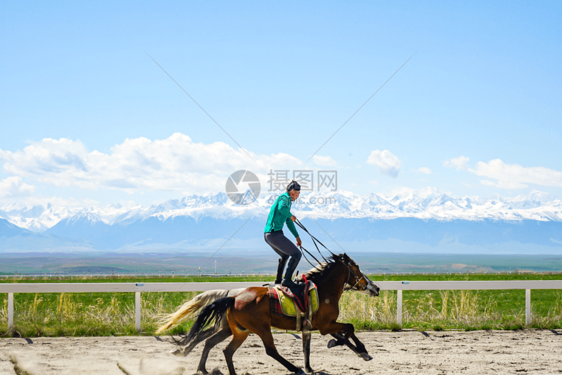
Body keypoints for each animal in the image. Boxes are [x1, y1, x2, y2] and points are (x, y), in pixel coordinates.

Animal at [175, 254, 376, 375]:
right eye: (357, 267)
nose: (373, 287)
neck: (323, 289)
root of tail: (232, 297)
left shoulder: (312, 327)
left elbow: (309, 347)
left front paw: (362, 352)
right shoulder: (325, 325)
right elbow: (349, 329)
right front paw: (347, 346)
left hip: (238, 330)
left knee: (221, 347)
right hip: (260, 328)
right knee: (270, 350)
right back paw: (294, 368)